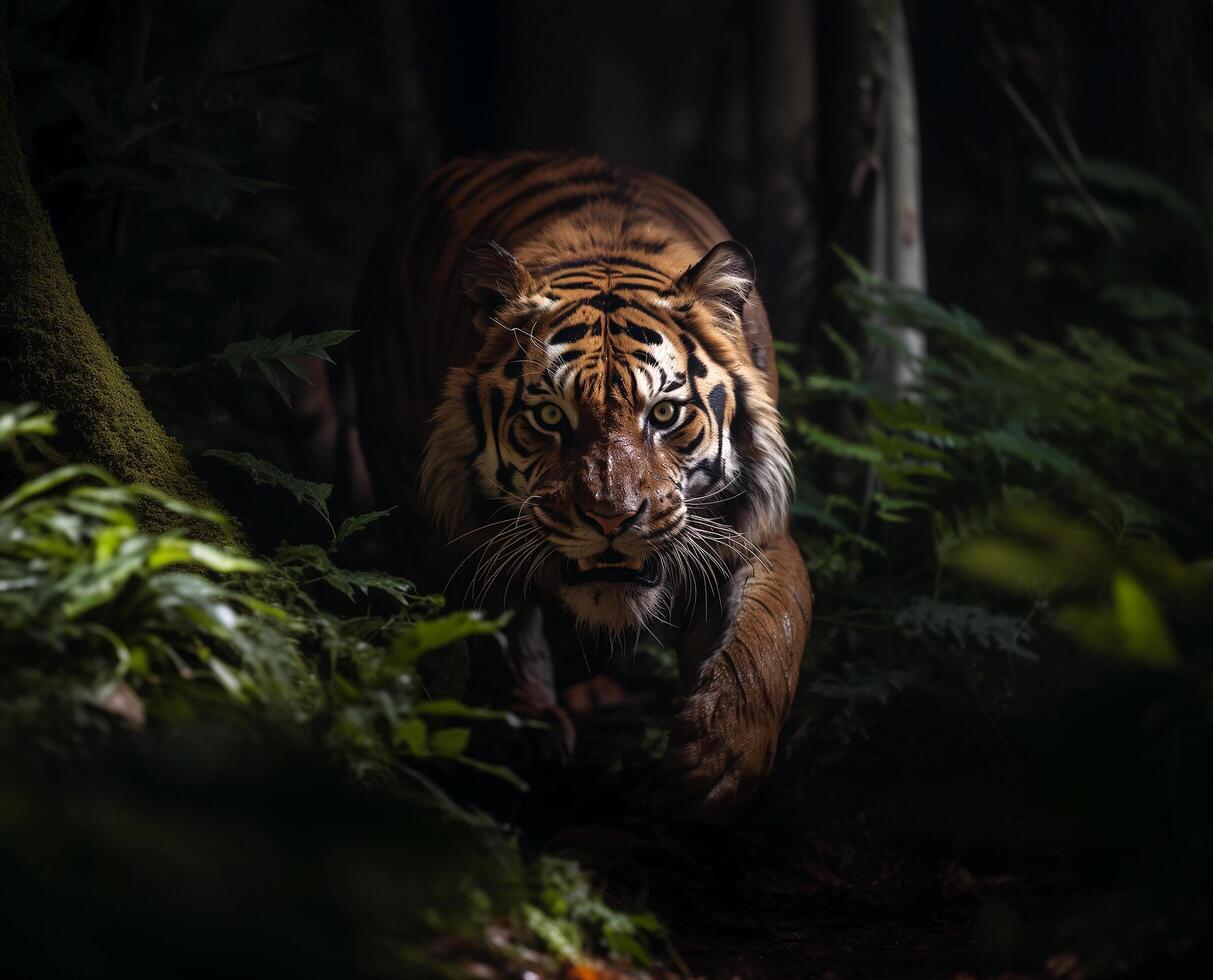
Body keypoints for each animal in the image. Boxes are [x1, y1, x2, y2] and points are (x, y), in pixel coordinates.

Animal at [351, 152, 815, 810]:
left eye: (664, 414)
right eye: (550, 417)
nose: (611, 518)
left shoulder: (755, 526)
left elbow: (773, 626)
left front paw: (721, 753)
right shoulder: (459, 539)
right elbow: (484, 636)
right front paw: (511, 736)